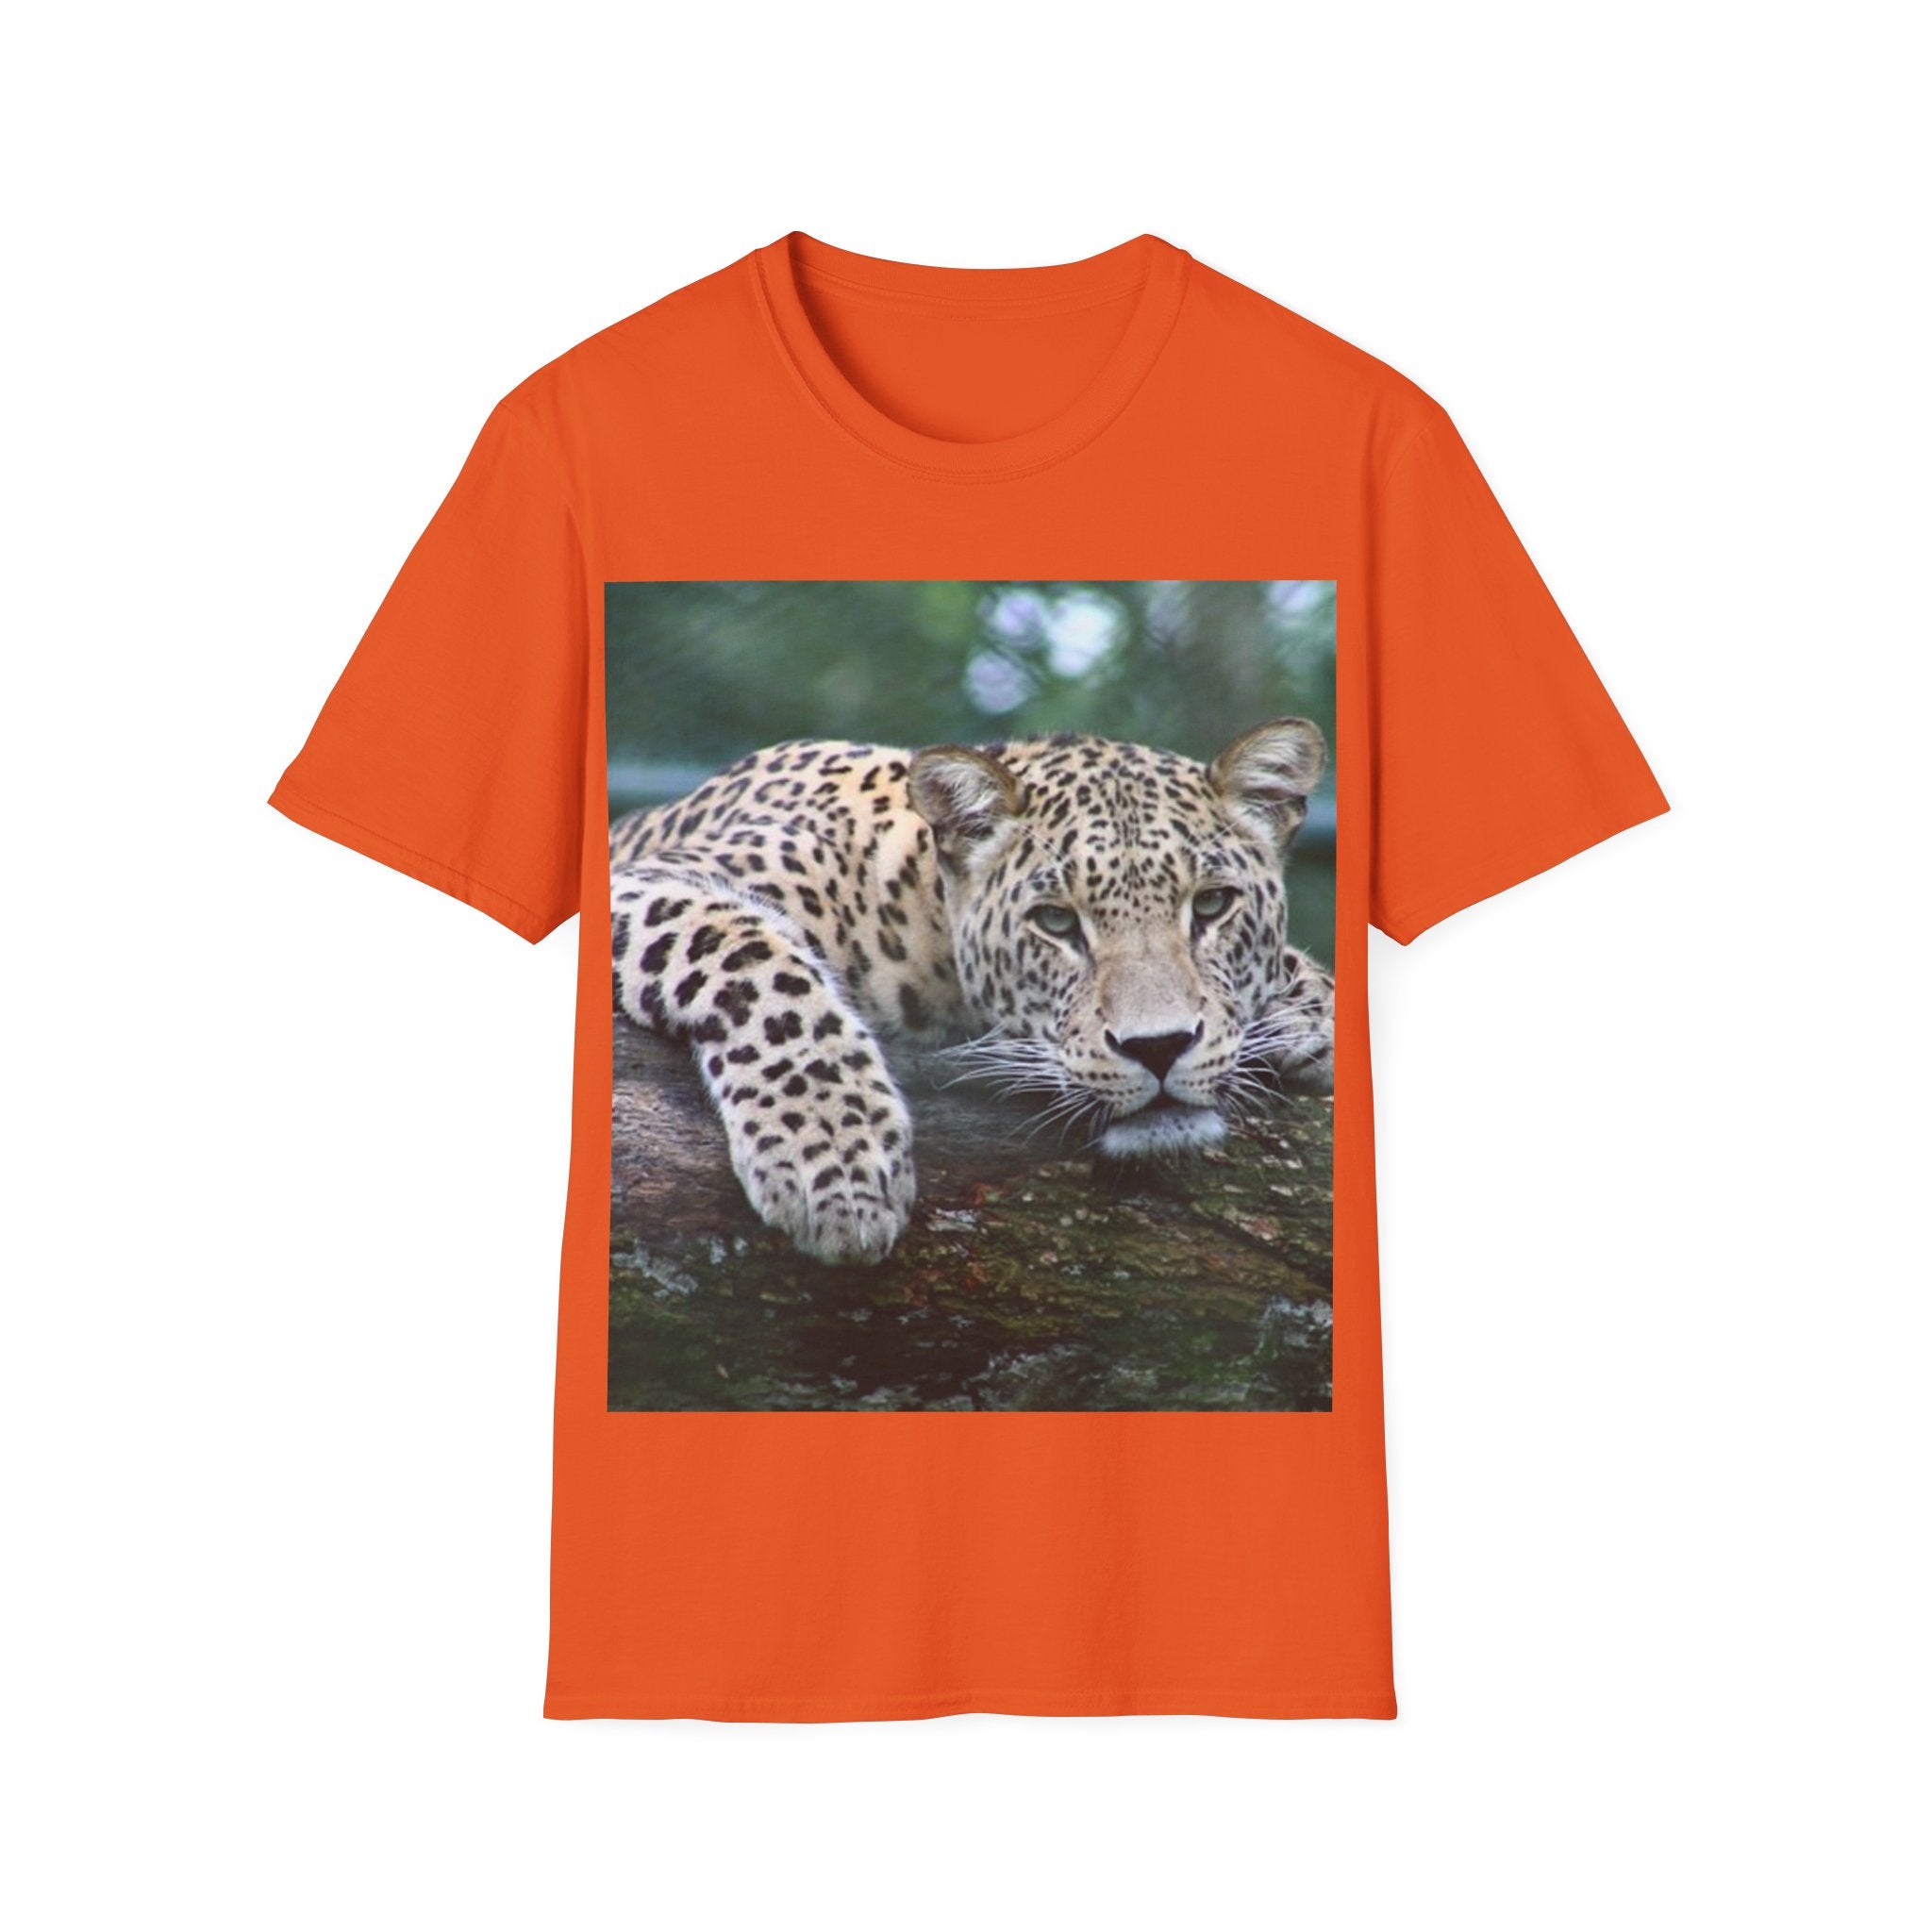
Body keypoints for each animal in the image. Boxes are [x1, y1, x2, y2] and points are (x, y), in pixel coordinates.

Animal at [610, 721, 1335, 1266]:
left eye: (1212, 905)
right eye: (1056, 922)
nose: (1159, 1048)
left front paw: (1309, 1012)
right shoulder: (646, 883)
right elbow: (758, 961)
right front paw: (836, 1160)